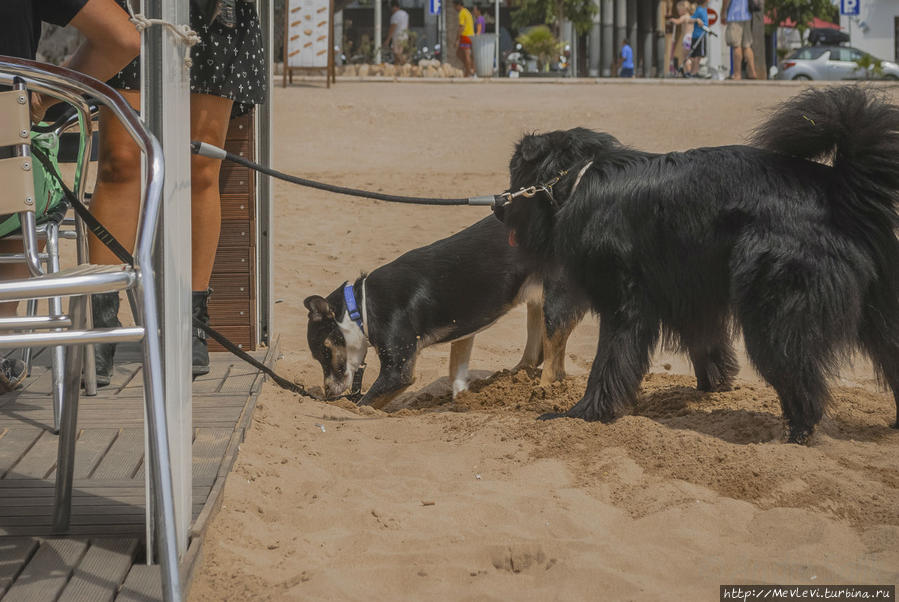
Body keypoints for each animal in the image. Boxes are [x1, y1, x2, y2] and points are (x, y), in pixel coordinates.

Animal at [306, 216, 588, 408]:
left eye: (324, 352)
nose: (328, 393)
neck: (362, 306)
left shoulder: (398, 371)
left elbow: (365, 402)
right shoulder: (464, 330)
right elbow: (456, 370)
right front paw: (461, 400)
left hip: (555, 303)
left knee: (554, 369)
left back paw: (539, 397)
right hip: (537, 299)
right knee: (536, 354)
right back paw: (510, 379)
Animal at [500, 85, 899, 440]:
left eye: (514, 171)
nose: (498, 206)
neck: (579, 175)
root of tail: (837, 190)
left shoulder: (624, 304)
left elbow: (609, 360)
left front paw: (586, 413)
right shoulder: (687, 292)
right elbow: (706, 343)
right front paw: (714, 386)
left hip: (774, 312)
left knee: (800, 378)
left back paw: (795, 434)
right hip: (879, 314)